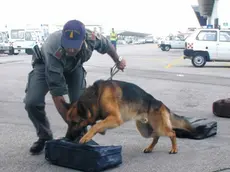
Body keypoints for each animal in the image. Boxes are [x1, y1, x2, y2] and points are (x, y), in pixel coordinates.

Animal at [63, 80, 193, 154]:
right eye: (68, 123)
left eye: (75, 123)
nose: (67, 138)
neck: (97, 96)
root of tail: (162, 104)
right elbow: (98, 124)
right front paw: (97, 132)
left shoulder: (115, 118)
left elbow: (96, 125)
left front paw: (86, 137)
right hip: (144, 131)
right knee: (156, 137)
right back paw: (150, 148)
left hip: (160, 127)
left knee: (172, 133)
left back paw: (174, 149)